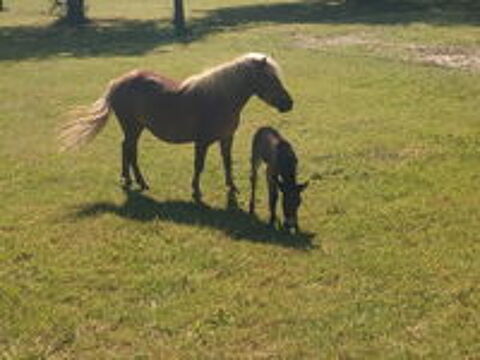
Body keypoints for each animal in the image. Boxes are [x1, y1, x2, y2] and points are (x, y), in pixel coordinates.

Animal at [60, 52, 292, 202]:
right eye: (269, 78)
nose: (289, 104)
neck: (219, 98)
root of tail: (117, 82)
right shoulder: (202, 142)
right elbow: (199, 166)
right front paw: (196, 192)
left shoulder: (226, 139)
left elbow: (227, 163)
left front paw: (232, 188)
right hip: (132, 128)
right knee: (130, 150)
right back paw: (137, 181)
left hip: (136, 128)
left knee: (126, 149)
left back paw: (131, 180)